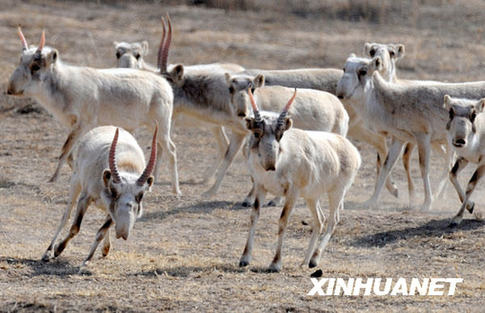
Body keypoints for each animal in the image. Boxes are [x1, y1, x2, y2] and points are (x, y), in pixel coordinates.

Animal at [7, 29, 180, 195]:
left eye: (35, 67)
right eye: (20, 61)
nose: (10, 90)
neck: (63, 85)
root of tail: (164, 83)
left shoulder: (84, 124)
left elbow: (64, 152)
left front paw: (52, 179)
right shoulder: (71, 125)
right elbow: (70, 155)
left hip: (161, 126)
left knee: (171, 150)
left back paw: (176, 190)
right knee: (161, 149)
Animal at [41, 125, 156, 266]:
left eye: (141, 195)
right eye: (113, 191)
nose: (122, 233)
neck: (127, 164)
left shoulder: (113, 213)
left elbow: (101, 232)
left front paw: (87, 260)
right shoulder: (85, 198)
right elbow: (75, 227)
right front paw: (58, 249)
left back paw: (105, 249)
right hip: (76, 181)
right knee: (65, 216)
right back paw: (48, 252)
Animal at [240, 89, 362, 270]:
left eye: (280, 134)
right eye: (256, 133)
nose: (270, 165)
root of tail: (351, 149)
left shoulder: (292, 193)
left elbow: (283, 220)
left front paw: (275, 264)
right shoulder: (261, 187)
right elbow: (254, 216)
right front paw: (244, 259)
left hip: (337, 193)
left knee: (333, 220)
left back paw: (315, 259)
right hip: (312, 197)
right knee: (320, 220)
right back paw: (305, 260)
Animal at [442, 94, 484, 224]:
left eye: (474, 114)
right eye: (450, 112)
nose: (459, 141)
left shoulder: (483, 163)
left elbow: (470, 185)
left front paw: (457, 218)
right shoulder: (464, 158)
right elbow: (452, 175)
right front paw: (471, 206)